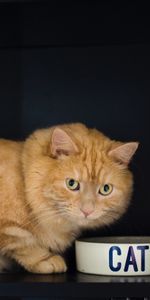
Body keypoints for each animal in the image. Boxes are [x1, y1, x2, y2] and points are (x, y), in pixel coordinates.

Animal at [0, 123, 138, 274]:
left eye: (105, 189)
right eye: (71, 184)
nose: (87, 211)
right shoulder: (10, 229)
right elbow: (24, 244)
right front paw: (45, 259)